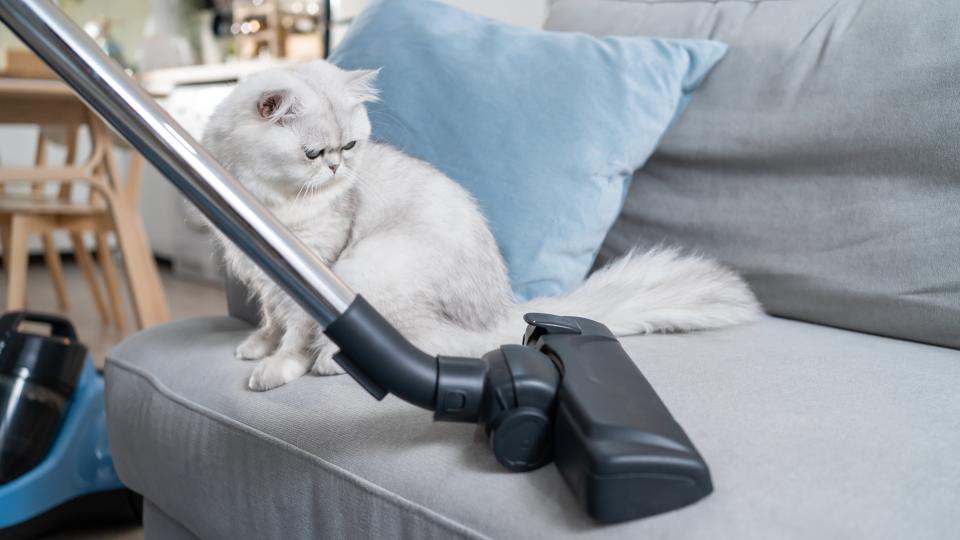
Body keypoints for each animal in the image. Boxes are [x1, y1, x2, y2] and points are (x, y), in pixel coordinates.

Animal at [204, 60, 764, 392]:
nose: (338, 169)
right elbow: (270, 322)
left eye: (349, 146)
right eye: (314, 153)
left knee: (430, 349)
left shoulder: (310, 269)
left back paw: (329, 362)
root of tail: (503, 309)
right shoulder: (262, 276)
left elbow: (294, 335)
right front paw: (256, 346)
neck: (270, 203)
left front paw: (275, 367)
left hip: (369, 268)